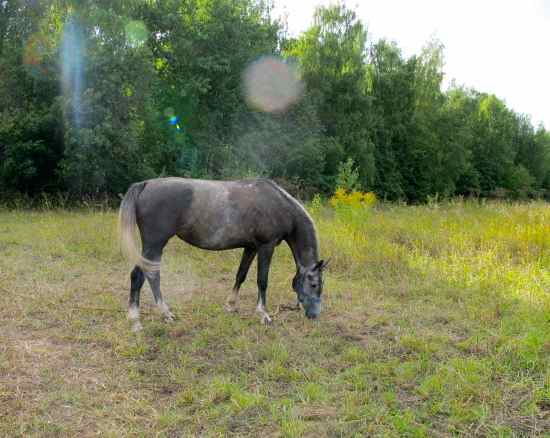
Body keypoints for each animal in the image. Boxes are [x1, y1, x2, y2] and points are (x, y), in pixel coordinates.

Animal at [118, 177, 328, 331]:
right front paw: (263, 314)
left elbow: (241, 275)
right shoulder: (266, 247)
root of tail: (146, 184)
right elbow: (262, 280)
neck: (279, 205)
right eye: (314, 284)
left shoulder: (251, 248)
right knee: (145, 275)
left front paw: (230, 305)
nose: (315, 315)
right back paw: (150, 317)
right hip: (154, 244)